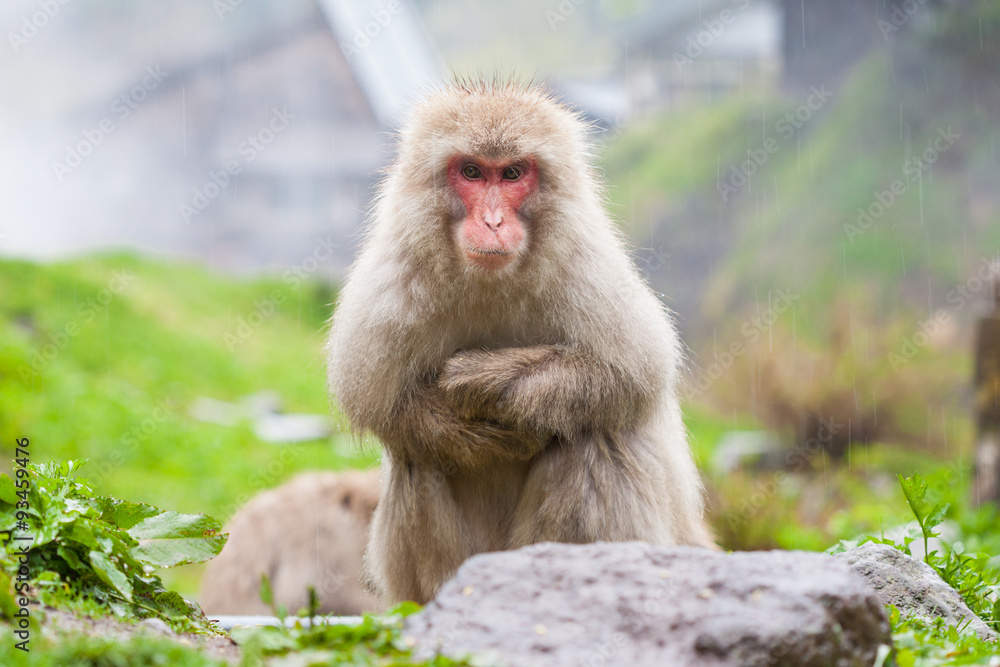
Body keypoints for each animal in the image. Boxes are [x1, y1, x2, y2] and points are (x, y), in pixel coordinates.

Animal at [326, 79, 715, 605]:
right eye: (471, 171)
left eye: (512, 173)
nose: (492, 221)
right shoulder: (393, 283)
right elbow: (379, 402)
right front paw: (466, 430)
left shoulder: (586, 269)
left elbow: (629, 376)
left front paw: (490, 382)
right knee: (418, 456)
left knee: (592, 434)